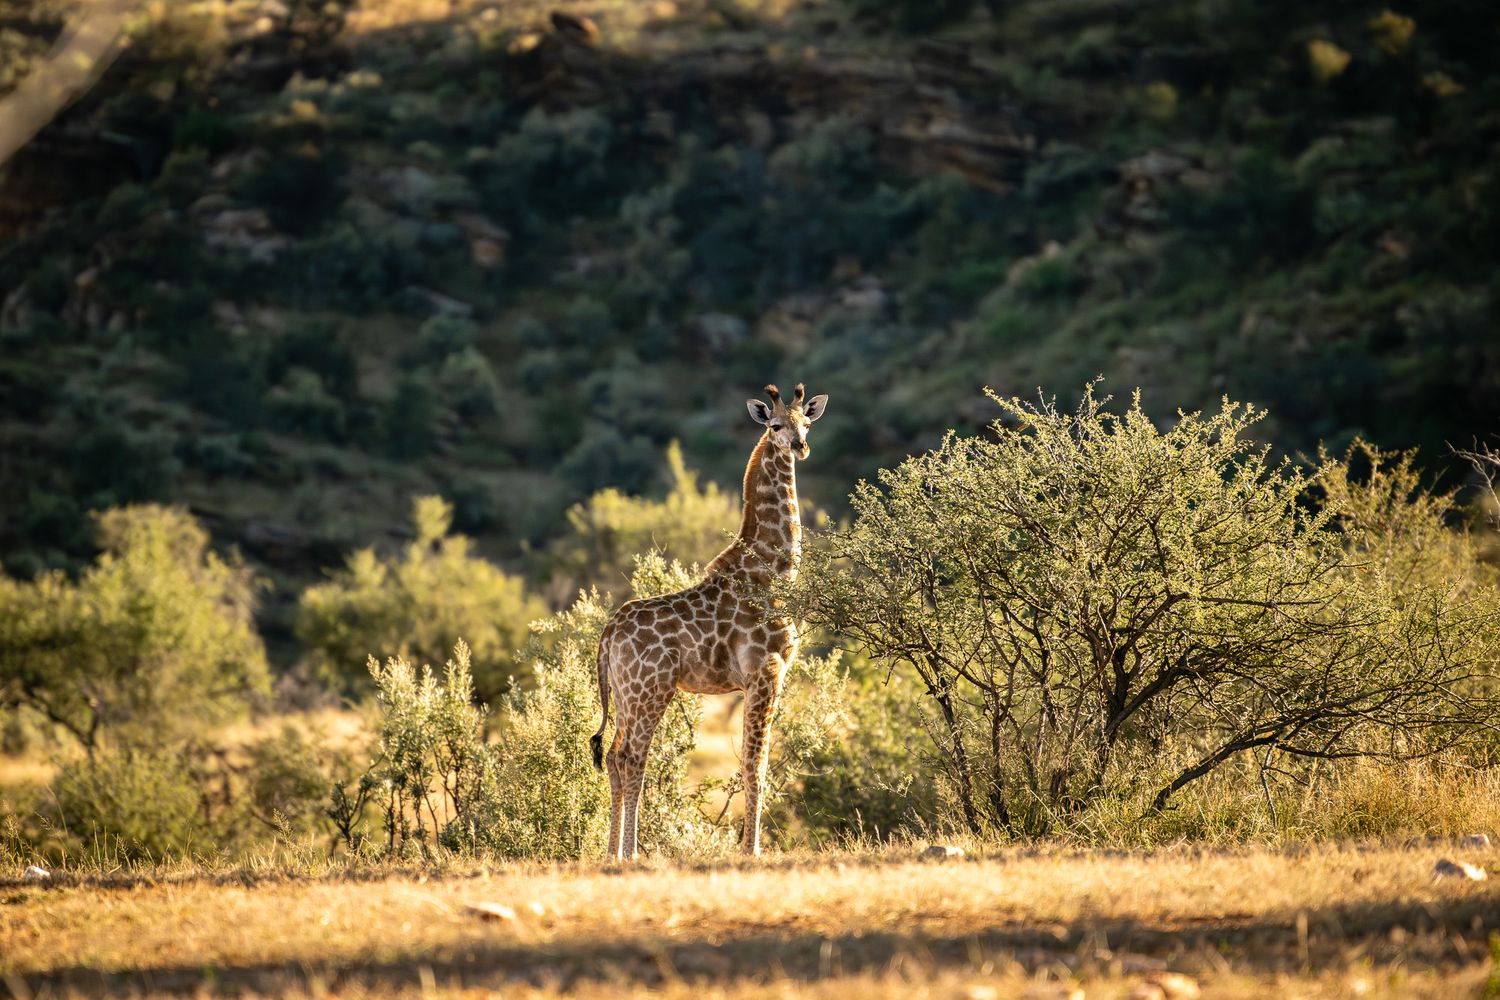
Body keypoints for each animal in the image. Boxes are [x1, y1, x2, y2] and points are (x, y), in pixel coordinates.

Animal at [589, 382, 829, 860]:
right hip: (651, 690)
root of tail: (608, 634)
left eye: (806, 423)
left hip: (624, 695)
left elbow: (753, 762)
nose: (801, 446)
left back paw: (611, 853)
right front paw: (751, 851)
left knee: (613, 756)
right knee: (631, 758)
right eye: (776, 425)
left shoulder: (761, 679)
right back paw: (631, 852)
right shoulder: (767, 671)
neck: (775, 570)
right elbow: (756, 764)